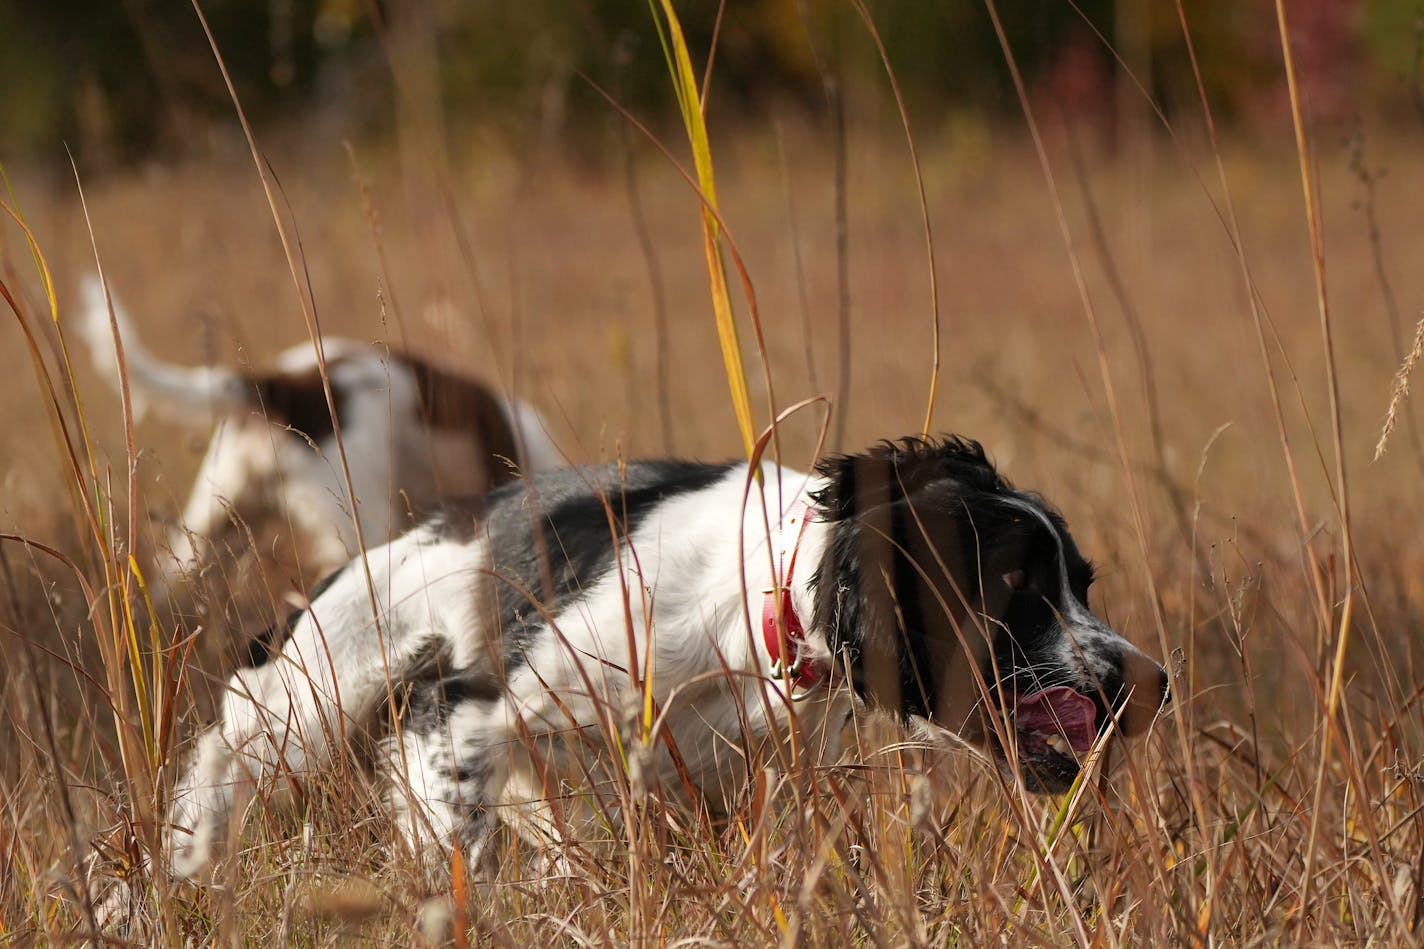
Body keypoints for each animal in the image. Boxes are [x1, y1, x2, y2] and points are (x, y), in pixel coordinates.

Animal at [166, 433, 1167, 877]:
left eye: (1083, 580)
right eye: (1018, 582)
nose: (1149, 682)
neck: (759, 614)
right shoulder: (471, 707)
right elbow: (461, 843)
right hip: (315, 689)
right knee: (225, 746)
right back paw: (176, 872)